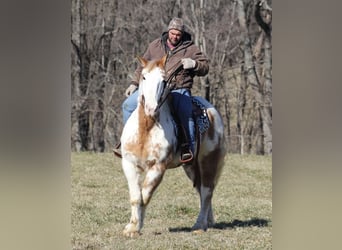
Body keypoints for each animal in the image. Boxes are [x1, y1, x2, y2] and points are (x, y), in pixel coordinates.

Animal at [119, 54, 226, 236]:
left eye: (163, 80)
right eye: (144, 77)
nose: (151, 108)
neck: (146, 129)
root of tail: (212, 112)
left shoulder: (158, 167)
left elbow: (145, 195)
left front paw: (136, 226)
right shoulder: (129, 165)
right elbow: (136, 197)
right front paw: (132, 228)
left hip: (208, 161)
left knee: (206, 191)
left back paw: (199, 225)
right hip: (191, 167)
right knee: (202, 191)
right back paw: (209, 222)